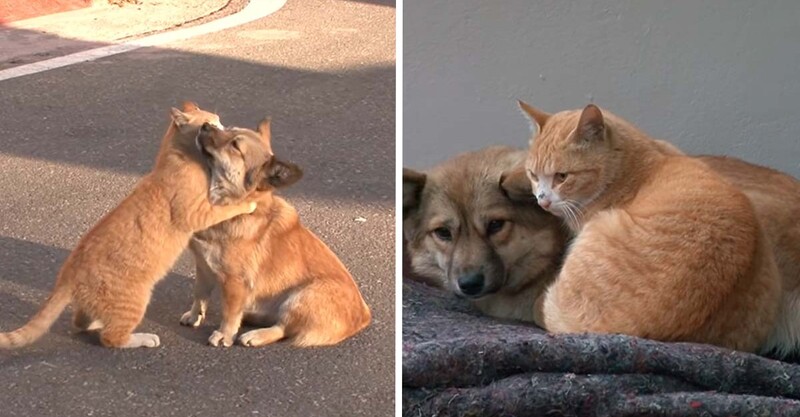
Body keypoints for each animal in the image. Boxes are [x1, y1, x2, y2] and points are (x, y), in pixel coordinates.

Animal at [0, 103, 256, 348]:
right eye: (212, 123)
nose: (226, 127)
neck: (175, 157)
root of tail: (68, 272)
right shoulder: (196, 213)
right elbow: (226, 208)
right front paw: (248, 202)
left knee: (81, 322)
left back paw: (96, 323)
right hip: (135, 300)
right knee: (112, 338)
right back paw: (143, 338)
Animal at [180, 121, 370, 348]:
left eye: (235, 146)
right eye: (228, 128)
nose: (205, 125)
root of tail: (364, 316)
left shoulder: (235, 282)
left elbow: (230, 314)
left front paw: (224, 335)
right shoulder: (204, 267)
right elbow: (199, 295)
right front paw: (194, 316)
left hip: (302, 296)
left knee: (283, 328)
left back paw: (256, 335)